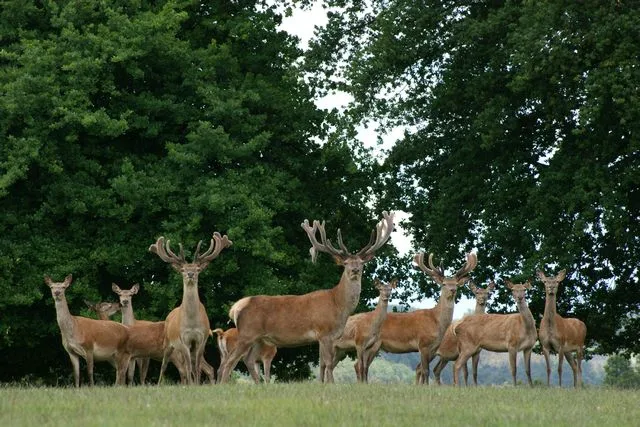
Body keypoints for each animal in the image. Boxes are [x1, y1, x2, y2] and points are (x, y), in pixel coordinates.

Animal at [150, 232, 232, 386]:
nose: (190, 274)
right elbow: (188, 366)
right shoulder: (184, 339)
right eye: (183, 269)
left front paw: (196, 384)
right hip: (168, 343)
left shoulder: (201, 339)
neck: (192, 323)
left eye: (198, 269)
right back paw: (160, 384)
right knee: (164, 365)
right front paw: (191, 384)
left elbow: (196, 366)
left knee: (199, 366)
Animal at [218, 212, 392, 382]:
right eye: (345, 263)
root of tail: (235, 308)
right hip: (247, 333)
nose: (355, 270)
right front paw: (331, 385)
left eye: (361, 263)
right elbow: (328, 363)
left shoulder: (326, 337)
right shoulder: (324, 332)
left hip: (258, 339)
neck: (338, 304)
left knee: (248, 360)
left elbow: (324, 364)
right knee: (229, 362)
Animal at [368, 252, 478, 386]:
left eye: (456, 284)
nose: (453, 290)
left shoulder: (433, 348)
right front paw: (425, 387)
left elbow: (423, 369)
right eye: (444, 284)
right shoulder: (423, 344)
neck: (436, 321)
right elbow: (425, 370)